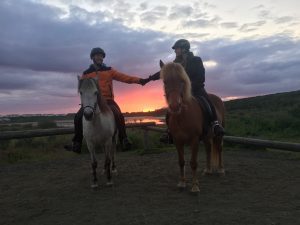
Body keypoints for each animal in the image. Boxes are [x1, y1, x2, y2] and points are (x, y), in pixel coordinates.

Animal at [161, 61, 224, 193]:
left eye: (182, 81)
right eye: (165, 82)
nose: (175, 106)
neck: (182, 116)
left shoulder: (194, 140)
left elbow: (193, 163)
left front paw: (195, 186)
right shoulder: (177, 141)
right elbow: (181, 162)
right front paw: (182, 182)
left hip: (218, 134)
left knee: (219, 148)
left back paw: (221, 170)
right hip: (206, 136)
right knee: (208, 149)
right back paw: (208, 170)